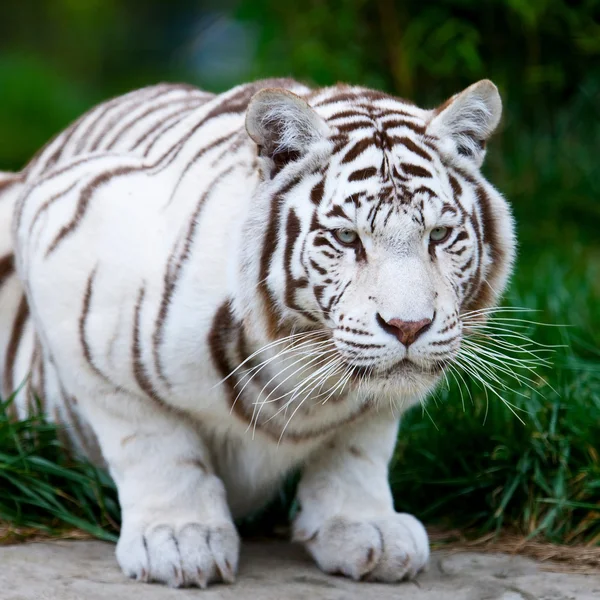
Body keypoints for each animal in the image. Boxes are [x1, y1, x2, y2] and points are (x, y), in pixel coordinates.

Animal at [0, 77, 516, 588]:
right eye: (347, 238)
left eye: (440, 235)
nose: (408, 326)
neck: (307, 375)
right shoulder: (65, 259)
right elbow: (151, 439)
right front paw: (179, 536)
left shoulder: (378, 405)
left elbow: (358, 443)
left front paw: (364, 524)